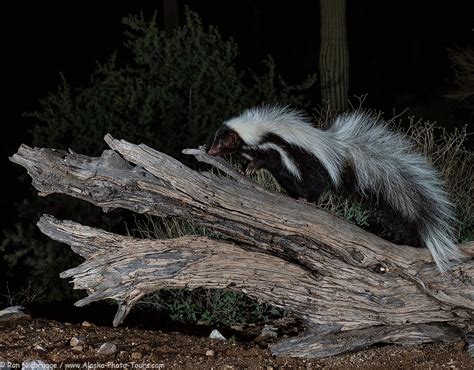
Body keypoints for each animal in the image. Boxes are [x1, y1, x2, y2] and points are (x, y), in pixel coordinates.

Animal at [208, 105, 462, 270]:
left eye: (221, 142)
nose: (209, 151)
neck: (258, 132)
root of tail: (339, 151)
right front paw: (244, 169)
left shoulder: (278, 148)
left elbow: (268, 159)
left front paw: (250, 169)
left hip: (314, 169)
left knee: (311, 186)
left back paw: (304, 199)